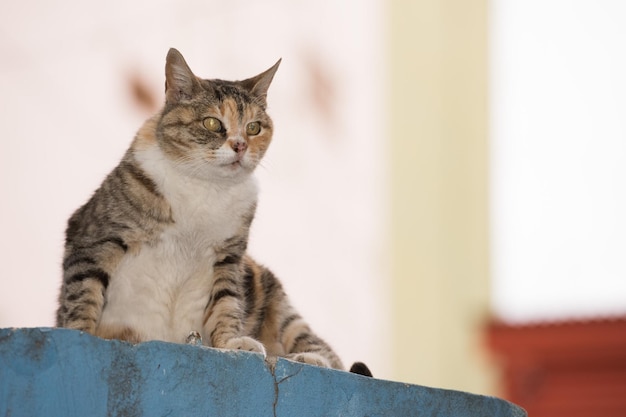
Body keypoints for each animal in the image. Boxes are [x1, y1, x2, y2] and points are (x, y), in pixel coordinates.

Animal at [56, 47, 368, 376]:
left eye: (254, 127)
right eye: (211, 123)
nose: (240, 145)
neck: (204, 187)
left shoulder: (229, 258)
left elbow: (226, 303)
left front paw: (231, 344)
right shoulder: (95, 239)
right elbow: (83, 295)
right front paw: (80, 337)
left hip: (278, 303)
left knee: (323, 349)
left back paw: (307, 359)